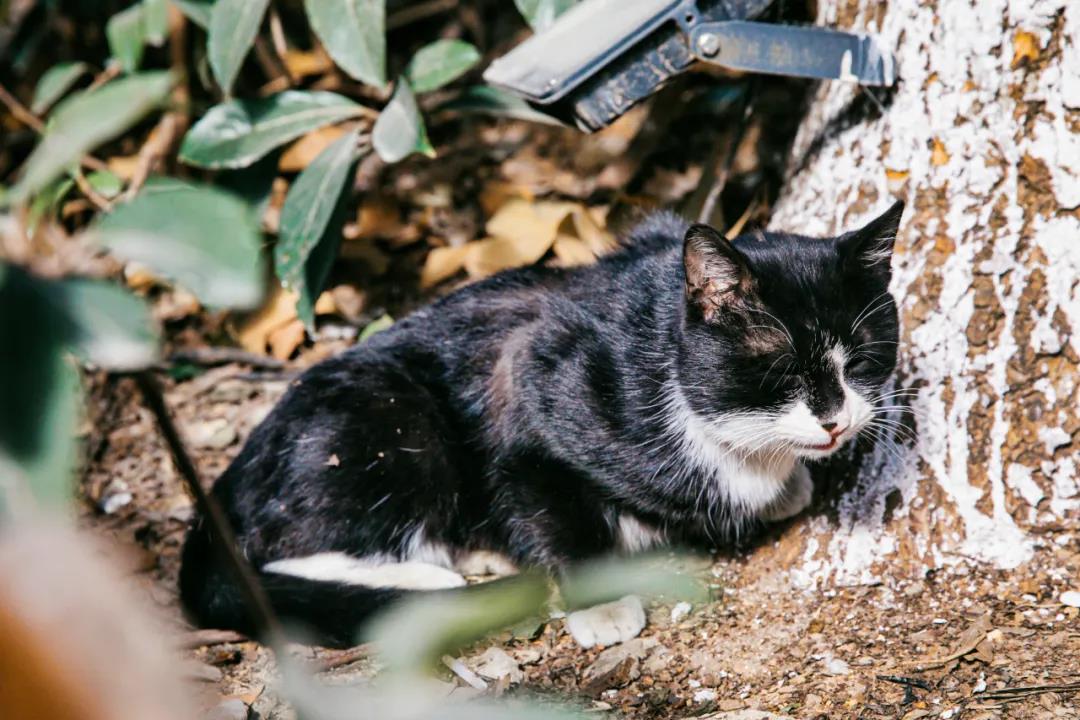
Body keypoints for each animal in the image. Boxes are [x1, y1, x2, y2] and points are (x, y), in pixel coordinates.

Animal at [179, 200, 904, 647]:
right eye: (780, 373)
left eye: (863, 360)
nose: (836, 421)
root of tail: (223, 491)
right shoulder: (529, 390)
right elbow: (553, 501)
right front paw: (600, 605)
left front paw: (786, 484)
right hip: (386, 422)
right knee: (290, 550)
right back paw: (426, 578)